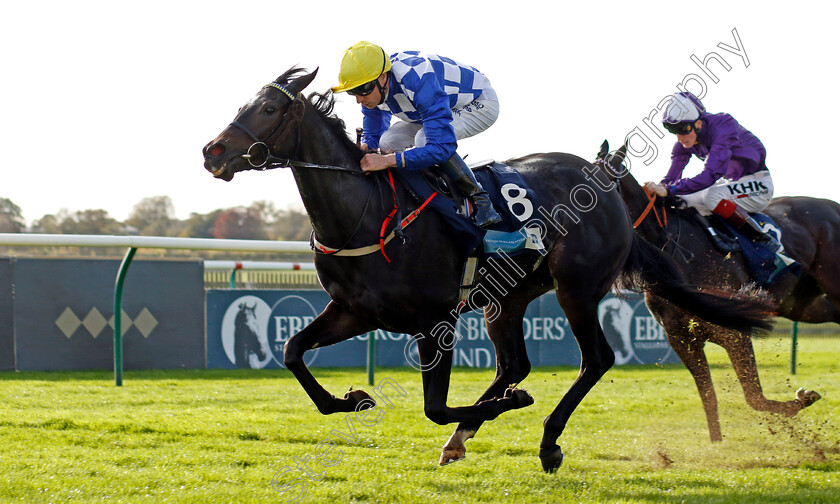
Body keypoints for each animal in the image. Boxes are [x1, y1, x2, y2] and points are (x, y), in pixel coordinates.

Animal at [203, 68, 776, 472]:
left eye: (269, 107)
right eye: (243, 103)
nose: (213, 151)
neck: (365, 214)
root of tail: (612, 187)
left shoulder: (435, 320)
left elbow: (435, 406)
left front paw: (506, 409)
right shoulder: (353, 311)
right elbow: (292, 351)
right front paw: (355, 398)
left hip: (576, 287)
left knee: (595, 359)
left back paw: (546, 441)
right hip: (507, 298)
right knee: (514, 363)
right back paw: (469, 434)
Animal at [592, 141, 832, 440]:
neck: (676, 251)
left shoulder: (734, 332)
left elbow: (754, 396)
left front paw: (803, 398)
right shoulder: (681, 337)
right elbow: (709, 398)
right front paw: (716, 445)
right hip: (808, 305)